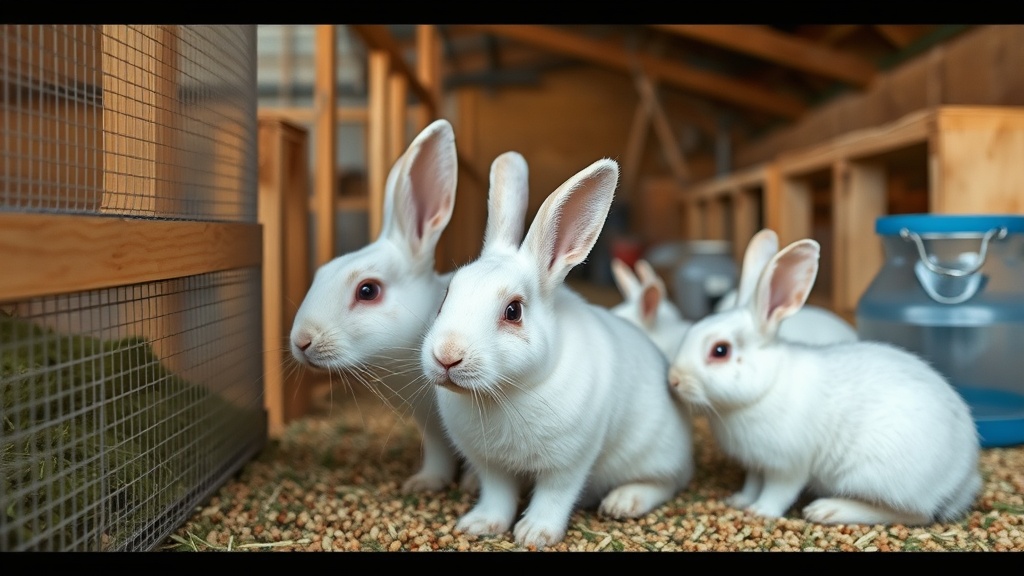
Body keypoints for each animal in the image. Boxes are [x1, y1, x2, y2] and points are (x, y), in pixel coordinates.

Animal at [289, 119, 477, 495]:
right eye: (321, 272)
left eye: (367, 290)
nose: (301, 341)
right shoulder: (432, 428)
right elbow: (439, 455)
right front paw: (423, 483)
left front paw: (471, 486)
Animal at [419, 153, 696, 549]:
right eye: (446, 296)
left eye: (513, 311)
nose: (446, 355)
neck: (504, 393)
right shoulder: (490, 464)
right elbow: (497, 494)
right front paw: (480, 524)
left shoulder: (568, 462)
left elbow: (554, 496)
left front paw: (534, 534)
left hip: (656, 454)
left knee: (664, 483)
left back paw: (623, 502)